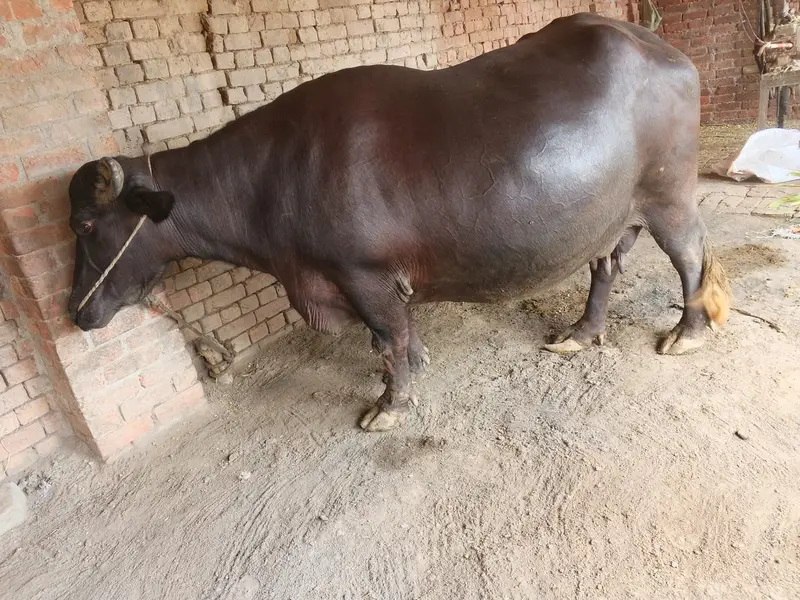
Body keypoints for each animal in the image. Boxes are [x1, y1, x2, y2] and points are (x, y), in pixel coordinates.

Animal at [68, 13, 731, 432]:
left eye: (84, 226)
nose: (77, 313)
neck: (275, 175)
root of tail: (662, 49)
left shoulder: (362, 274)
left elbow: (386, 341)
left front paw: (390, 404)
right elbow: (402, 336)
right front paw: (418, 362)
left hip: (670, 196)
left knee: (691, 257)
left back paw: (687, 332)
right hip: (611, 212)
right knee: (605, 263)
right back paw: (580, 333)